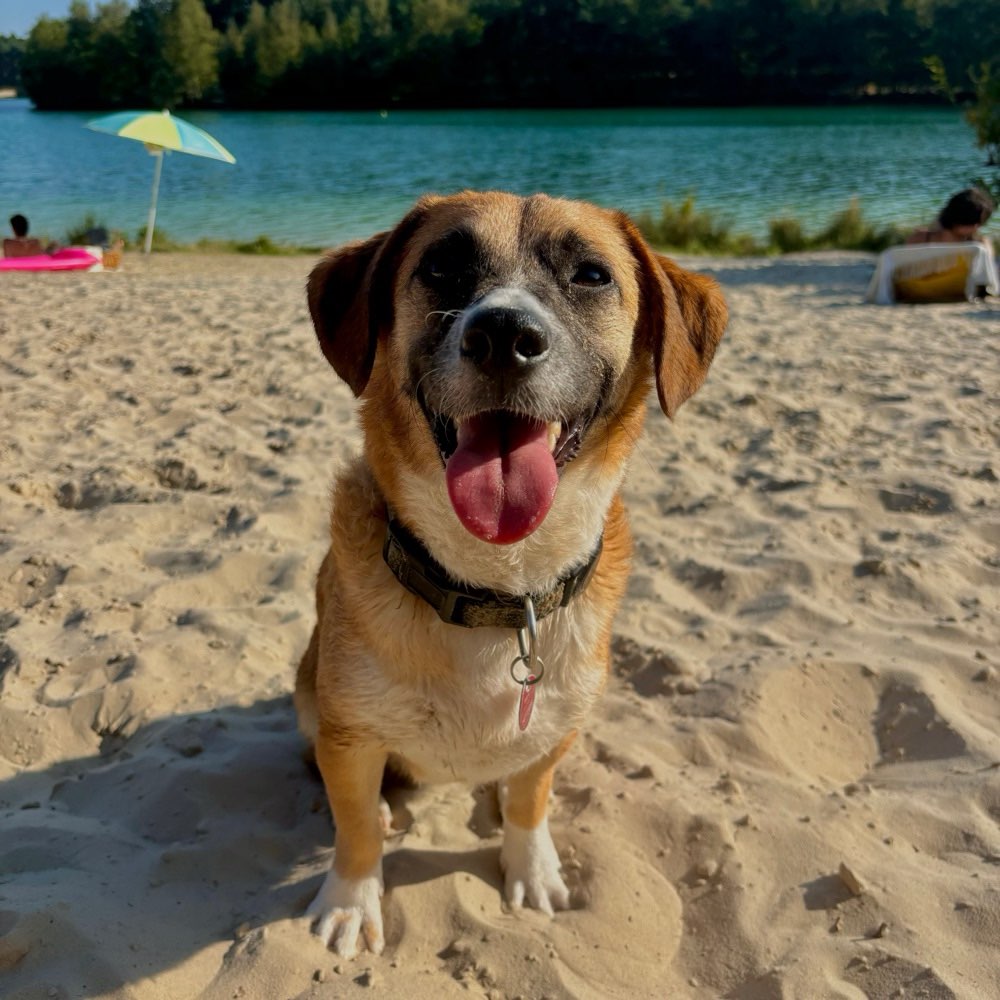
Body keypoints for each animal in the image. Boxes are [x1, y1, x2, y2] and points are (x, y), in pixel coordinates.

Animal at [294, 191, 728, 956]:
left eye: (591, 274)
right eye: (442, 266)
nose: (502, 334)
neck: (496, 585)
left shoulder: (555, 730)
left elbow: (531, 801)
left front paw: (532, 867)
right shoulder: (348, 735)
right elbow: (354, 829)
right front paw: (350, 900)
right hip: (305, 690)